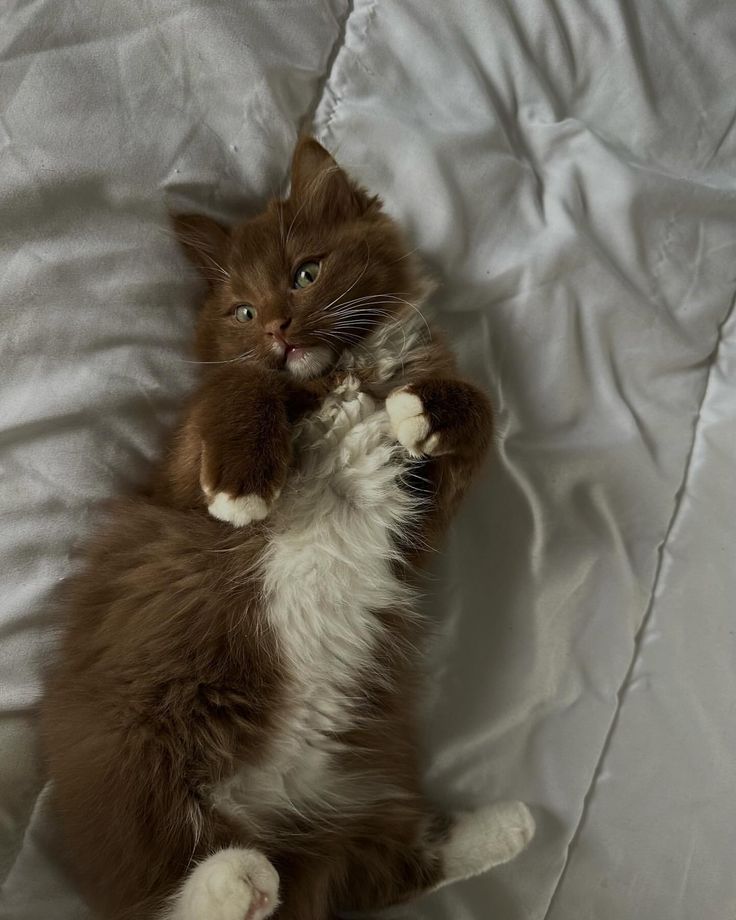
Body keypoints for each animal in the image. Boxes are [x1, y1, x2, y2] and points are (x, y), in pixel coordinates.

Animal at [40, 138, 532, 920]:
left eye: (306, 272)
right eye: (243, 310)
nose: (276, 328)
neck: (344, 380)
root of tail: (264, 813)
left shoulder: (423, 518)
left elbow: (480, 411)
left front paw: (425, 408)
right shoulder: (176, 476)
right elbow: (240, 384)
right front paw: (244, 487)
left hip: (359, 801)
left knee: (388, 868)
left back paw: (507, 825)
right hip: (137, 752)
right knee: (163, 890)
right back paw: (234, 882)